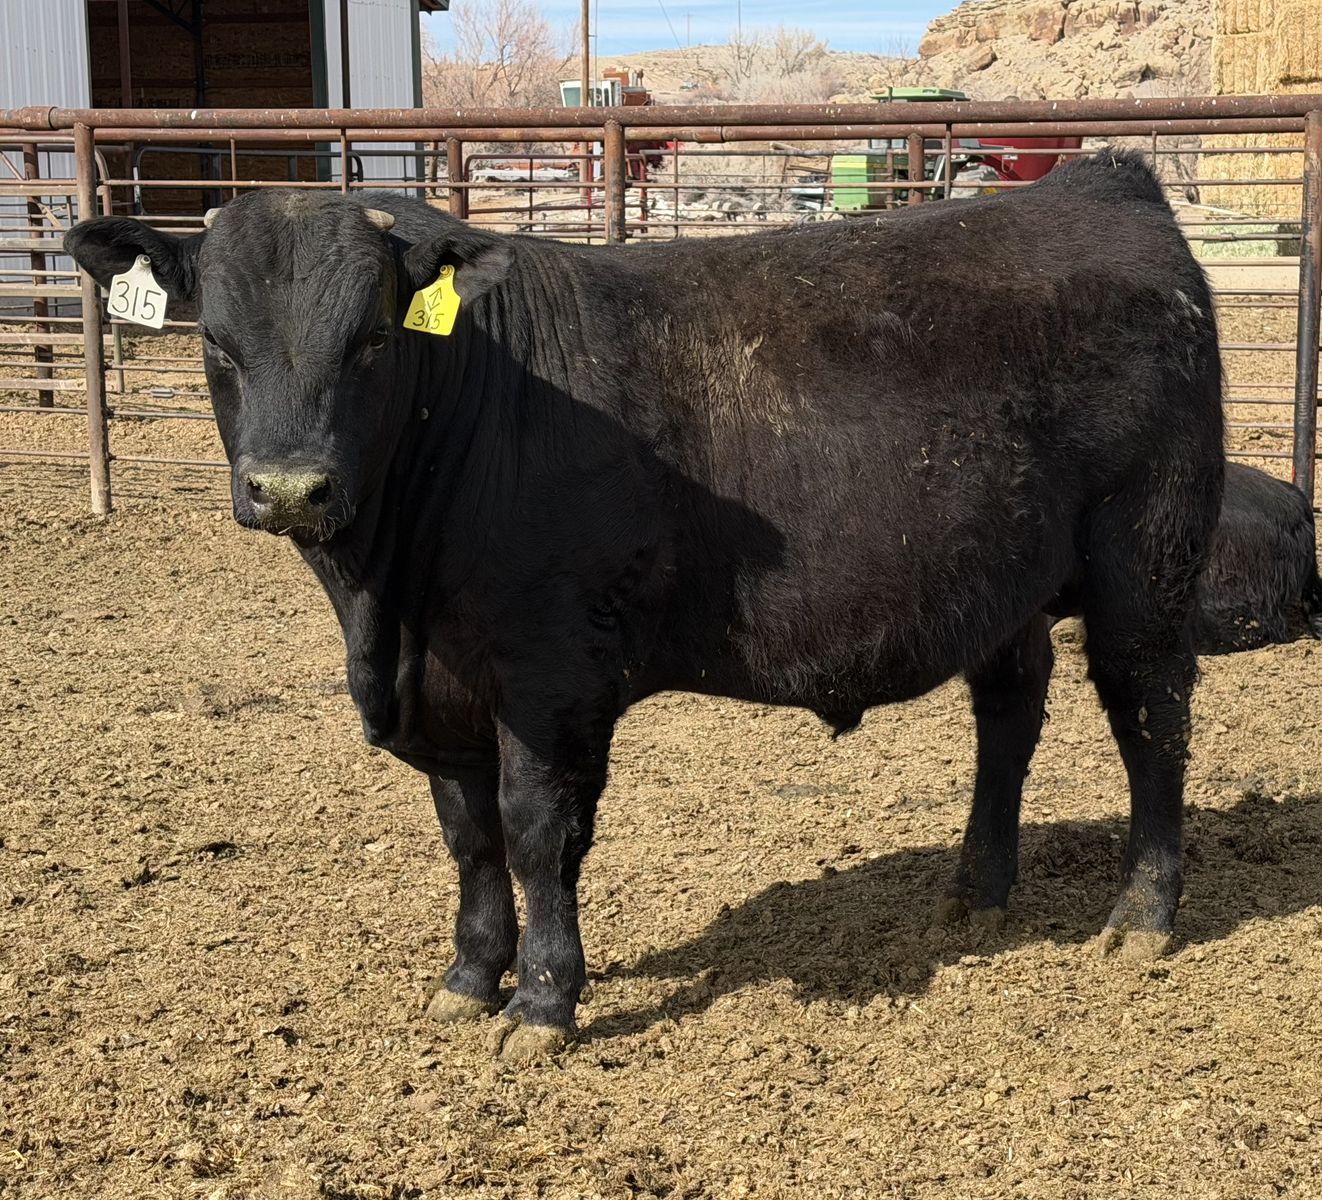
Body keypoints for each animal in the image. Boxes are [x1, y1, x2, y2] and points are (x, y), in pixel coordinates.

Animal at [64, 151, 1224, 1062]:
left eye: (372, 343)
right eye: (215, 344)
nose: (291, 487)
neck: (384, 602)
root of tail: (1106, 182)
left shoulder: (551, 675)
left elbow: (537, 832)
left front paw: (541, 1002)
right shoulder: (445, 690)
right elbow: (468, 836)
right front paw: (467, 979)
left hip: (1146, 558)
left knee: (1150, 720)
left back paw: (1141, 914)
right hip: (1002, 583)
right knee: (1008, 717)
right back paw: (975, 889)